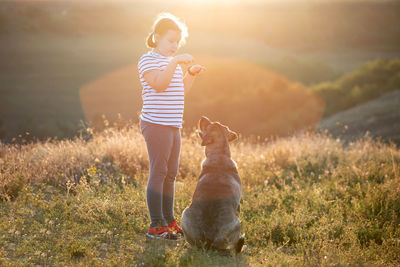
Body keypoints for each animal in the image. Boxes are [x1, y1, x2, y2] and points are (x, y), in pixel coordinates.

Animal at [181, 116, 244, 254]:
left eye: (210, 125)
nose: (203, 117)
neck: (220, 154)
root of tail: (208, 242)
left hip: (185, 214)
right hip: (238, 223)